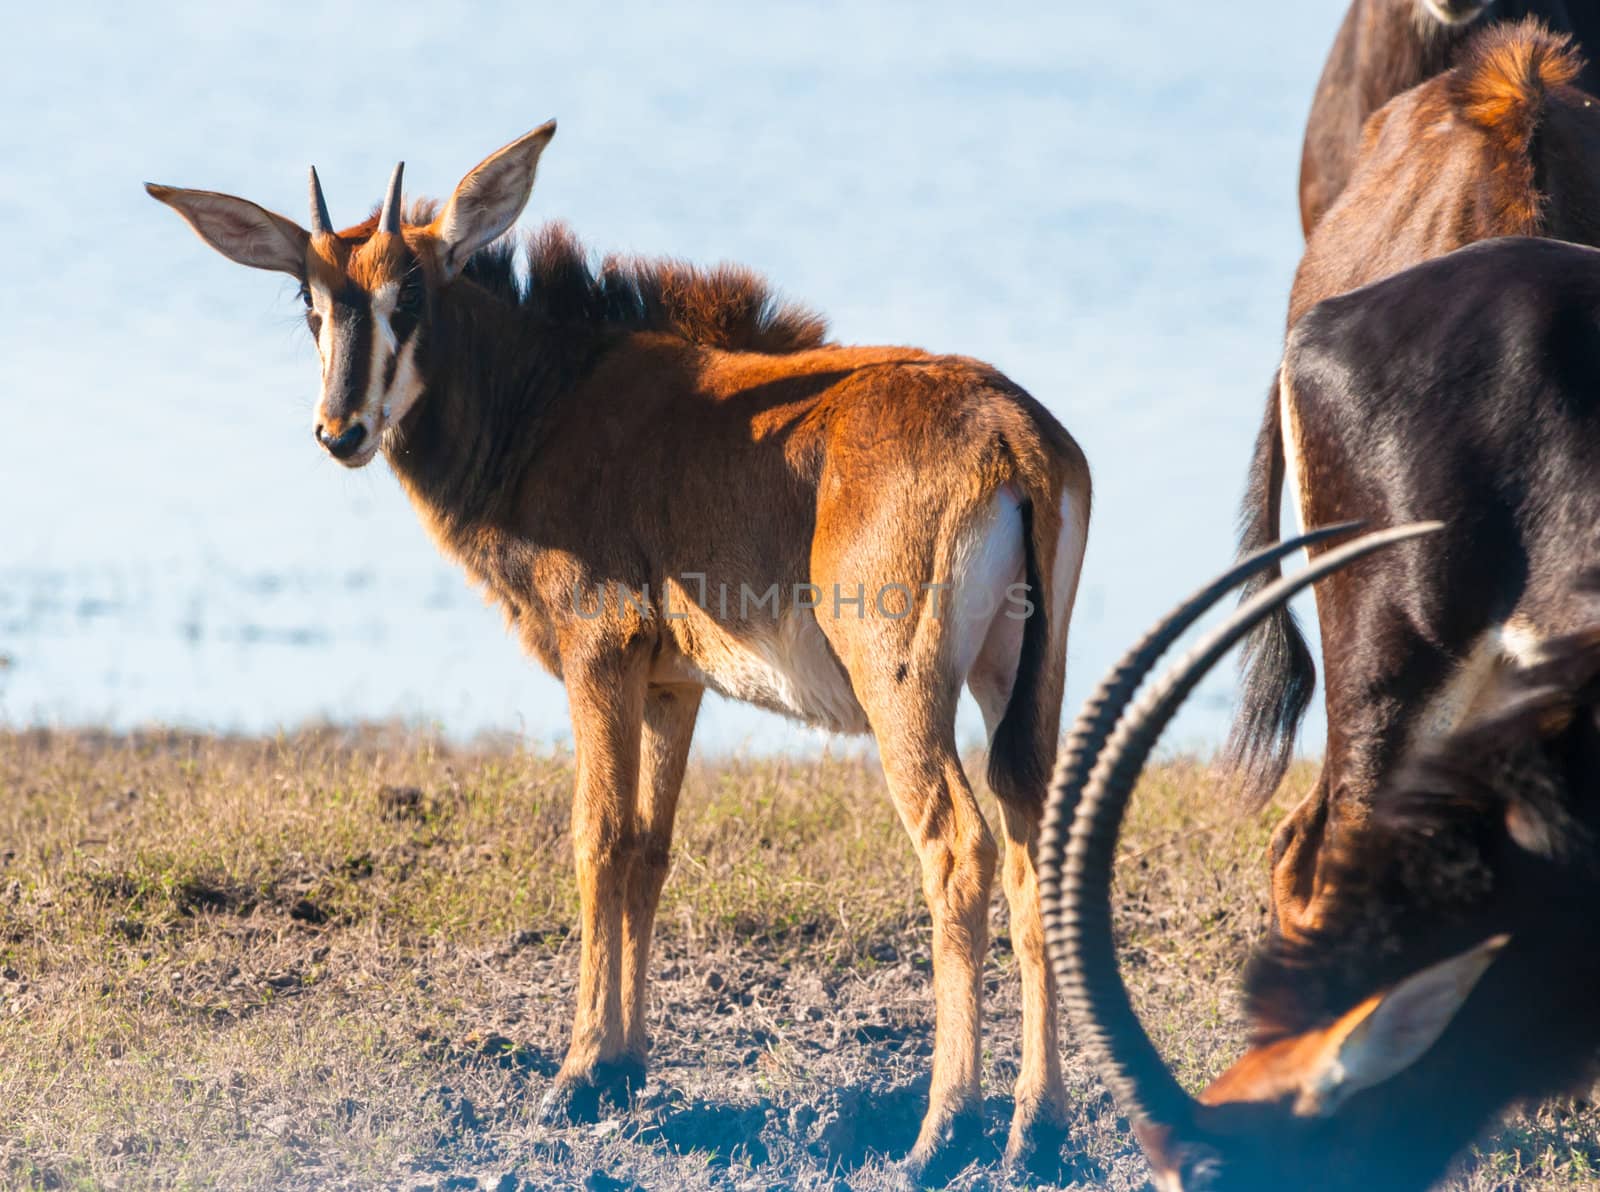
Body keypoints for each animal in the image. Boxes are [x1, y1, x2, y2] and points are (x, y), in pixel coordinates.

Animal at [144, 125, 1094, 1177]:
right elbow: (648, 849)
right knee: (1033, 850)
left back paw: (941, 1132)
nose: (340, 430)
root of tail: (1012, 437)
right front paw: (628, 1066)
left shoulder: (599, 652)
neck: (550, 395)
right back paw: (1036, 1127)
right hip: (1021, 684)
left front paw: (576, 1072)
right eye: (311, 306)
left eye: (410, 298)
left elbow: (596, 839)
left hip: (904, 689)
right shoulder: (674, 684)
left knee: (957, 848)